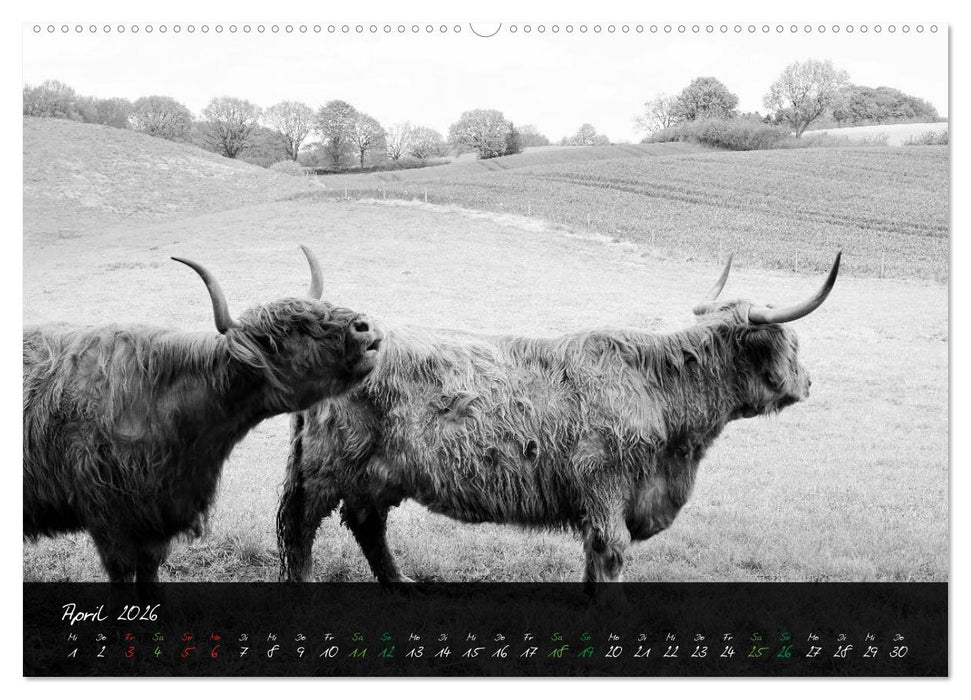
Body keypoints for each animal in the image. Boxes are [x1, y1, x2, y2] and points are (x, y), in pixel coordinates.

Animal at [276, 253, 840, 591]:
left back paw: (402, 585)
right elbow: (610, 554)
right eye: (792, 344)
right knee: (302, 530)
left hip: (375, 476)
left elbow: (594, 559)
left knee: (367, 524)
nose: (810, 382)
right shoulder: (607, 490)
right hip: (325, 471)